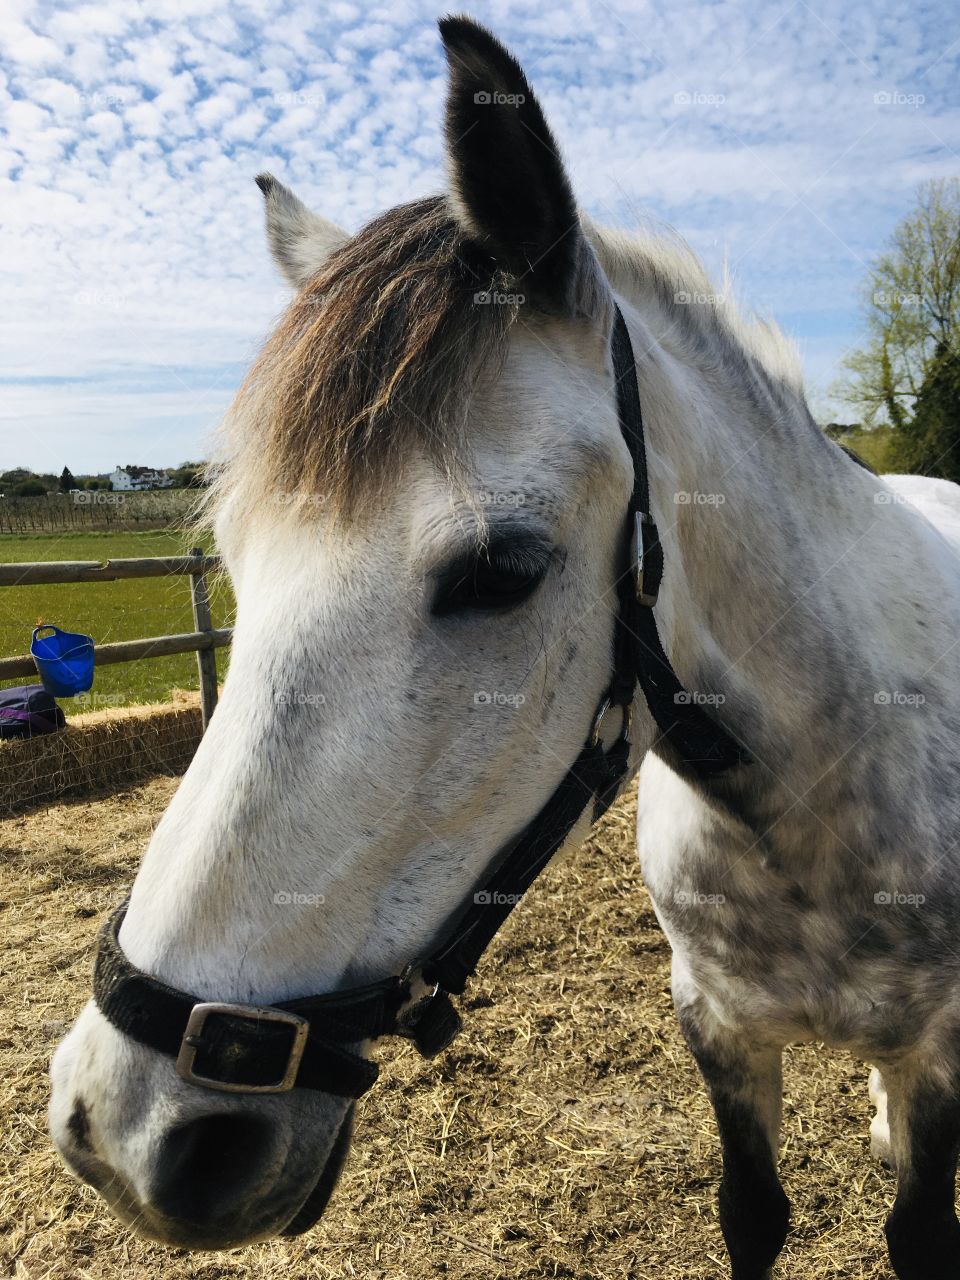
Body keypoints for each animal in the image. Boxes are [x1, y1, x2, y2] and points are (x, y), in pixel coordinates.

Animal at [49, 17, 960, 1280]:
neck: (819, 786)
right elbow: (753, 1213)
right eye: (236, 556)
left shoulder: (942, 1048)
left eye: (501, 572)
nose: (127, 1131)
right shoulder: (719, 1029)